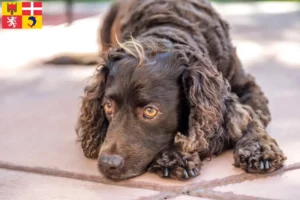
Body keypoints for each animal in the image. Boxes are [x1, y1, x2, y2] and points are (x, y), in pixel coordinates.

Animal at [45, 0, 286, 181]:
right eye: (108, 106)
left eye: (150, 111)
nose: (107, 164)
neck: (169, 27)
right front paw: (175, 156)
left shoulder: (248, 88)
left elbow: (251, 117)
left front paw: (259, 149)